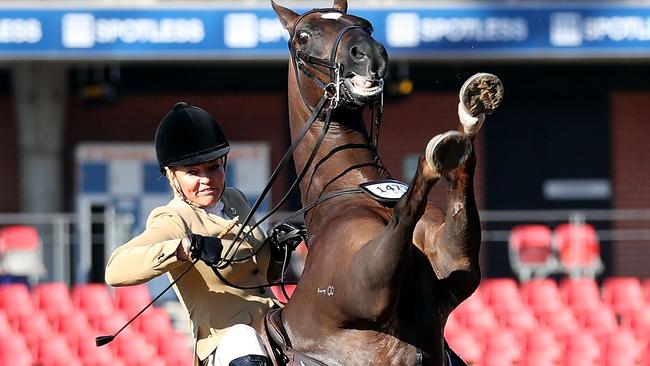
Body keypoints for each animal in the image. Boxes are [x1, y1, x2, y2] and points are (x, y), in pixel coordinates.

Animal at [266, 1, 504, 364]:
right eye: (304, 36)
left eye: (365, 25)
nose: (370, 53)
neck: (356, 189)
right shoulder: (367, 288)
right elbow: (406, 209)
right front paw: (434, 158)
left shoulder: (453, 262)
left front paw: (470, 115)